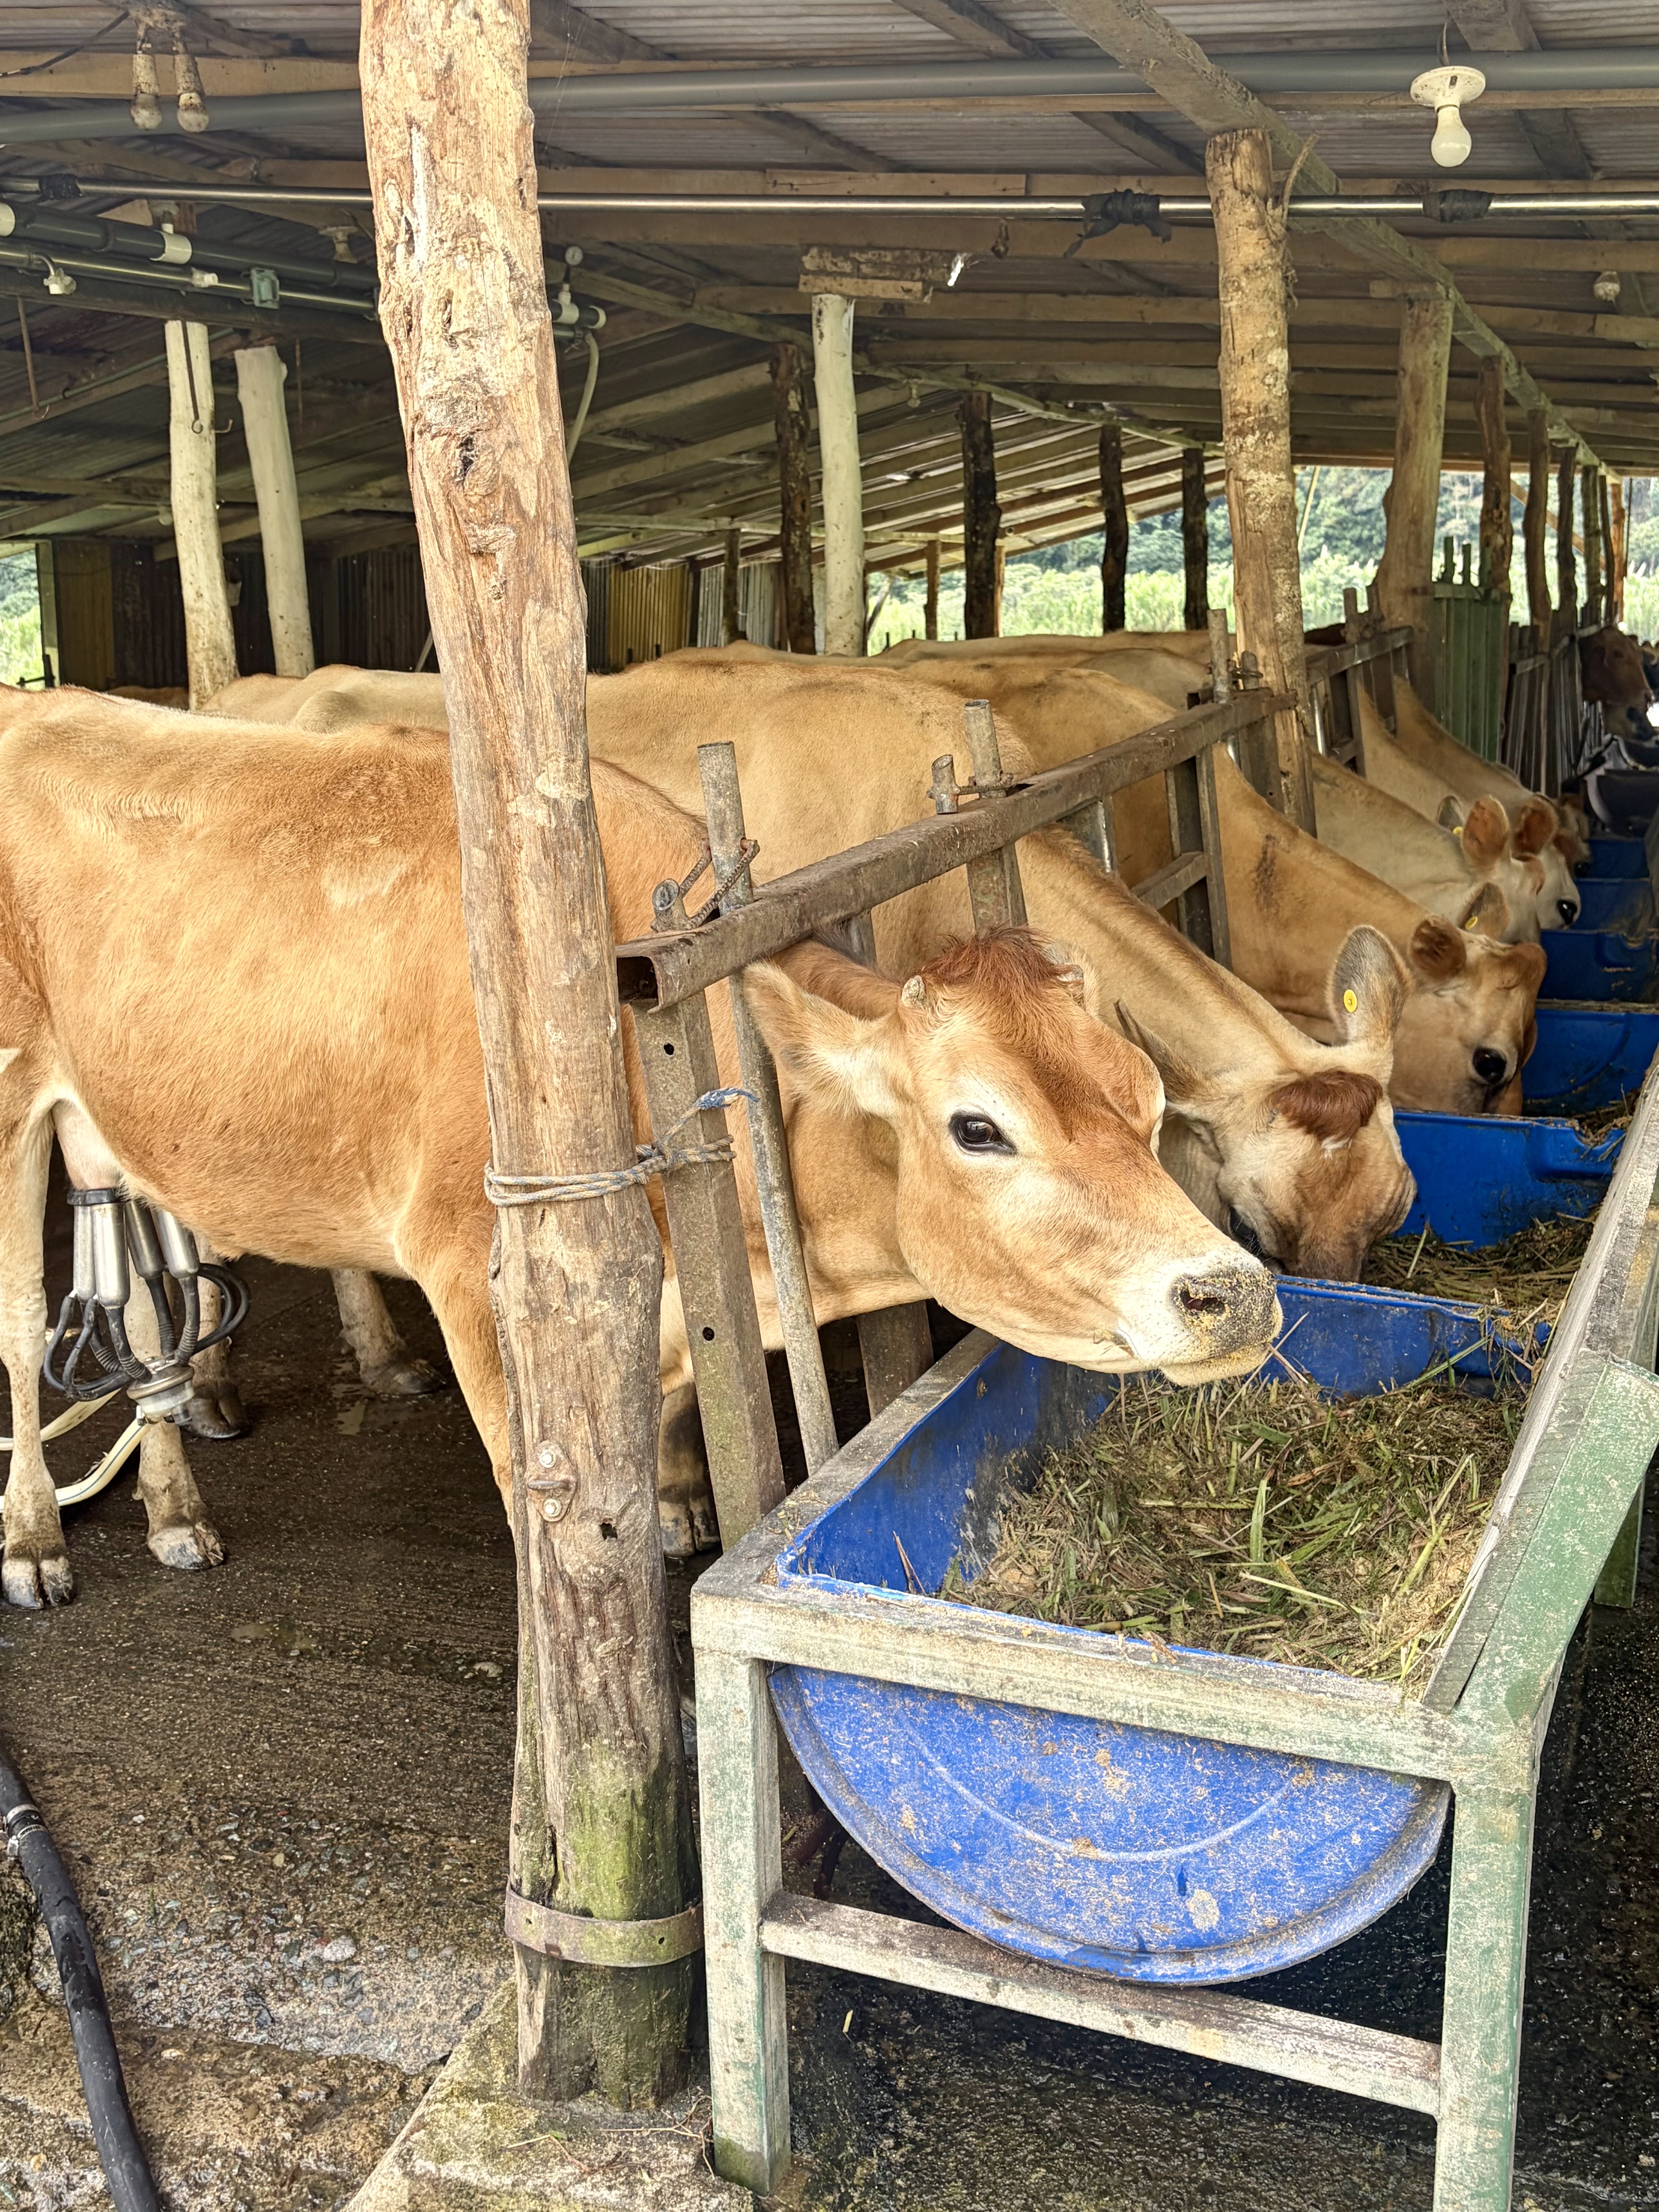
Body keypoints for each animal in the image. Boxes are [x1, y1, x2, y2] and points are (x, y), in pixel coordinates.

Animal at [0, 685, 1278, 1608]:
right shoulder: (479, 1287)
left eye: (1147, 1104)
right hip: (12, 1100)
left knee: (142, 1317)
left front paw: (672, 1508)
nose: (1235, 1293)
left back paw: (176, 1509)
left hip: (102, 1116)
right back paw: (33, 1539)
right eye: (979, 1127)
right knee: (25, 1326)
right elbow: (554, 1546)